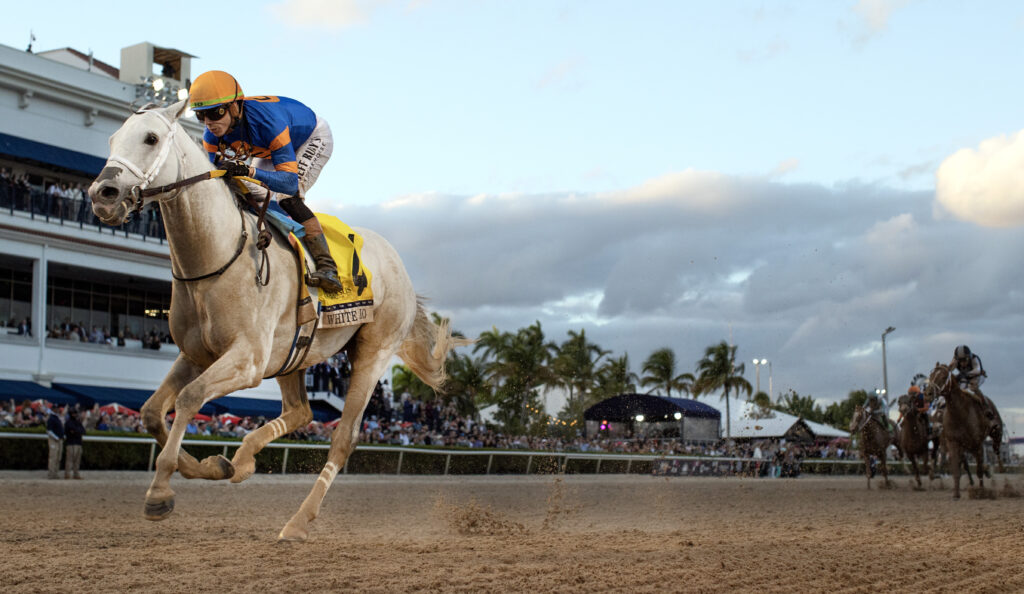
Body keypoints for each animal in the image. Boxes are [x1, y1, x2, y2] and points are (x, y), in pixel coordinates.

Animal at [88, 99, 468, 540]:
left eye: (150, 138)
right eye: (112, 139)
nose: (102, 194)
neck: (217, 256)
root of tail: (398, 264)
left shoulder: (247, 360)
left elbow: (188, 398)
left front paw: (160, 491)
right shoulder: (196, 355)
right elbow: (151, 411)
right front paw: (213, 465)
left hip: (373, 352)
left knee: (343, 439)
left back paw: (298, 520)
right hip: (295, 353)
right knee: (302, 413)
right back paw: (244, 461)